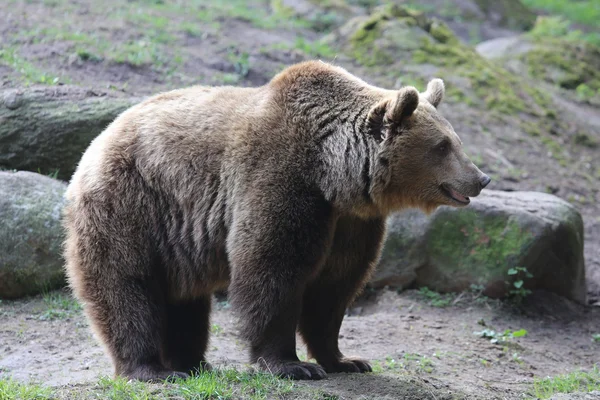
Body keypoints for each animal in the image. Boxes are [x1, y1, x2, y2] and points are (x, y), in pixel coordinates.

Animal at [63, 61, 490, 382]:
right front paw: (292, 365)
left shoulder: (350, 221)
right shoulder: (280, 179)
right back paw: (151, 369)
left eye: (456, 141)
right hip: (132, 206)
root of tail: (97, 142)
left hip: (175, 239)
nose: (480, 178)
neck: (334, 173)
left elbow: (335, 287)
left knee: (184, 301)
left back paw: (194, 363)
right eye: (442, 146)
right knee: (127, 286)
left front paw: (345, 360)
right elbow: (271, 269)